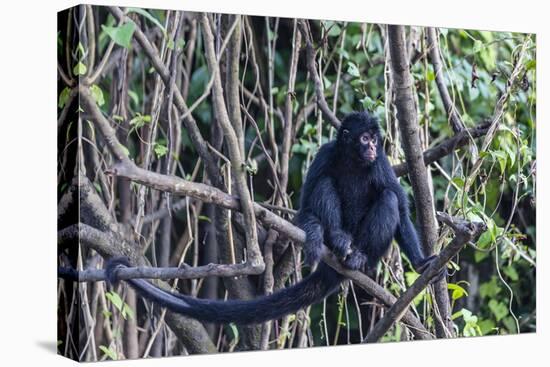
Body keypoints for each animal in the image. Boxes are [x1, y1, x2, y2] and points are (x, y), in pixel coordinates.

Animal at [108, 111, 444, 324]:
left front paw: (420, 263)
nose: (373, 145)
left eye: (375, 139)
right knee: (326, 184)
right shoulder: (326, 153)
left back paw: (359, 257)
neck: (353, 160)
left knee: (388, 198)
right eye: (364, 138)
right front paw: (315, 234)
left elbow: (400, 205)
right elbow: (307, 207)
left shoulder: (381, 162)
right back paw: (337, 240)